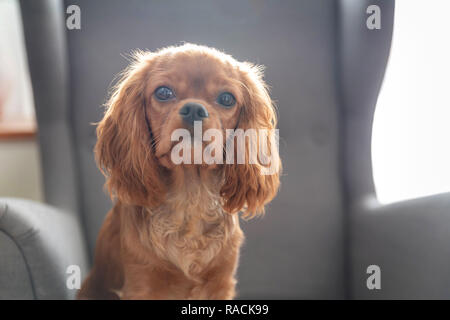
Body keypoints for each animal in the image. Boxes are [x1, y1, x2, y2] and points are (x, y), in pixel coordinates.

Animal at [78, 43, 282, 300]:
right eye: (163, 92)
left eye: (227, 98)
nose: (194, 109)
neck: (190, 199)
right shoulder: (142, 283)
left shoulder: (221, 284)